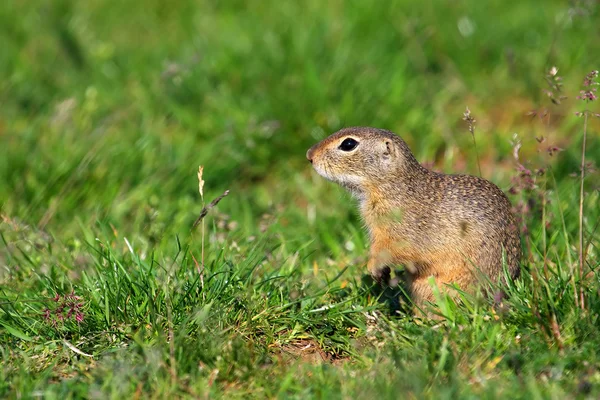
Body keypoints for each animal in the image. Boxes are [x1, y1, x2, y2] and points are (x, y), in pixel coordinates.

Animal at [308, 126, 516, 308]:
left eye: (348, 144)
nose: (309, 155)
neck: (393, 185)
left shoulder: (397, 234)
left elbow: (390, 250)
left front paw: (373, 267)